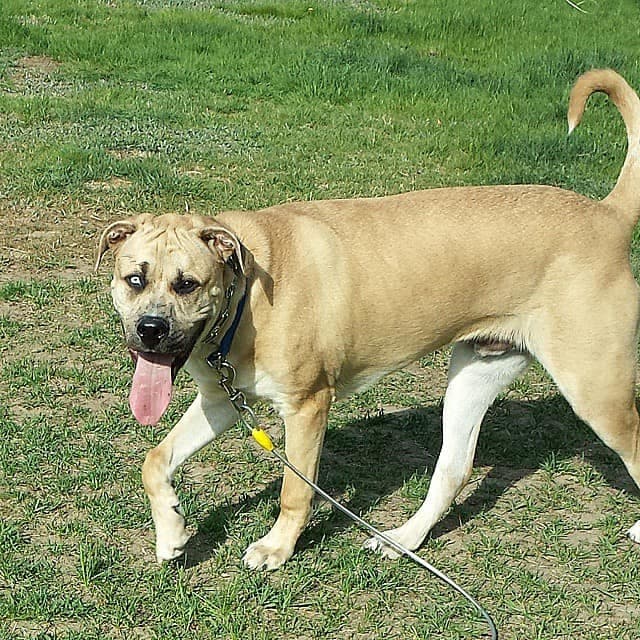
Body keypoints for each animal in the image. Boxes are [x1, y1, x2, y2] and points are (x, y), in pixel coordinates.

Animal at [96, 69, 640, 568]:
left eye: (187, 283)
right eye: (135, 279)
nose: (150, 331)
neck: (246, 295)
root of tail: (607, 215)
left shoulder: (307, 406)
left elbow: (295, 491)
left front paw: (277, 548)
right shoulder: (222, 400)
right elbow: (154, 459)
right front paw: (171, 531)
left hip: (597, 390)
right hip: (477, 372)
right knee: (453, 470)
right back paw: (403, 539)